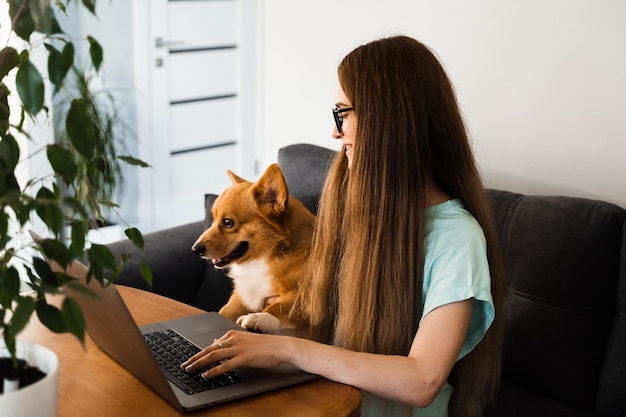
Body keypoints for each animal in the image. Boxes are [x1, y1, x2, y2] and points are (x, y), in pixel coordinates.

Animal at [190, 163, 314, 334]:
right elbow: (226, 310)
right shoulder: (242, 295)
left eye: (228, 222)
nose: (195, 249)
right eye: (213, 220)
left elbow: (278, 307)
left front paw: (259, 318)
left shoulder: (305, 296)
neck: (268, 255)